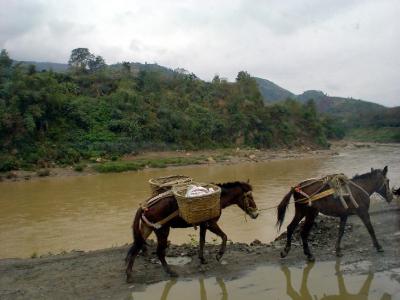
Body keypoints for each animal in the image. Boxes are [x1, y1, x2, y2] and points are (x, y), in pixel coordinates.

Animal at [124, 182, 260, 282]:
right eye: (249, 197)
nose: (256, 214)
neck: (219, 199)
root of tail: (145, 206)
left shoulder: (203, 225)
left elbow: (202, 241)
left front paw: (202, 259)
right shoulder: (211, 224)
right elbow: (224, 236)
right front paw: (219, 255)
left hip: (147, 228)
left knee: (136, 248)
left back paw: (129, 275)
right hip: (162, 230)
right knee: (159, 252)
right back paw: (170, 272)